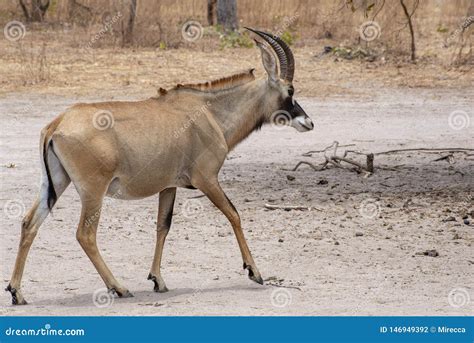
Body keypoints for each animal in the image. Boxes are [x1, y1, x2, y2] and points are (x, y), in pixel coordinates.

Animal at [6, 28, 314, 306]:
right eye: (290, 90)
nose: (308, 122)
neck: (211, 113)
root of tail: (57, 124)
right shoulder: (207, 180)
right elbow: (234, 214)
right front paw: (254, 272)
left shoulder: (169, 186)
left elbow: (162, 226)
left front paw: (158, 280)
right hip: (93, 191)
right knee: (85, 234)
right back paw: (119, 288)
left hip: (56, 183)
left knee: (29, 223)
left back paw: (17, 292)